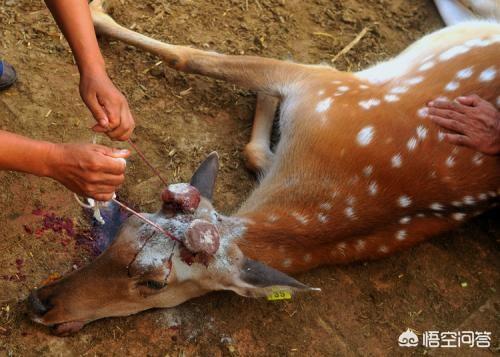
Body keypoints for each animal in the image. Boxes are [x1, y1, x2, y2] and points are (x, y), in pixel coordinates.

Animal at [29, 0, 498, 334]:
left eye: (155, 284)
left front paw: (94, 12)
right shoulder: (325, 85)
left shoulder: (326, 85)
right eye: (127, 227)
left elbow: (190, 56)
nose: (41, 303)